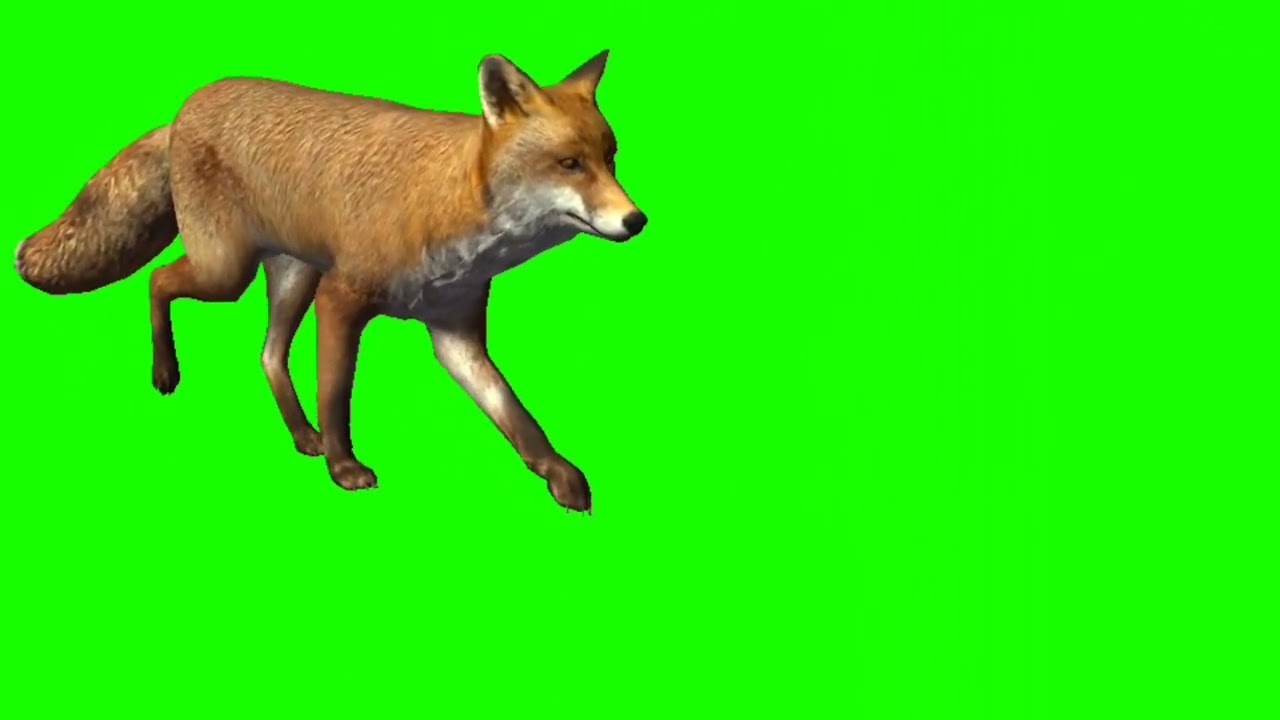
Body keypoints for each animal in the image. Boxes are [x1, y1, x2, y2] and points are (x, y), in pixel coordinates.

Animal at [13, 50, 648, 514]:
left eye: (612, 159)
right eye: (570, 164)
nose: (637, 221)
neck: (450, 210)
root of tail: (187, 105)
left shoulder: (455, 333)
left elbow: (516, 417)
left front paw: (559, 475)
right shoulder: (341, 298)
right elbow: (336, 393)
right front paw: (343, 467)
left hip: (291, 277)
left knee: (268, 354)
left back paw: (301, 435)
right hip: (228, 272)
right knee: (156, 279)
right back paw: (166, 372)